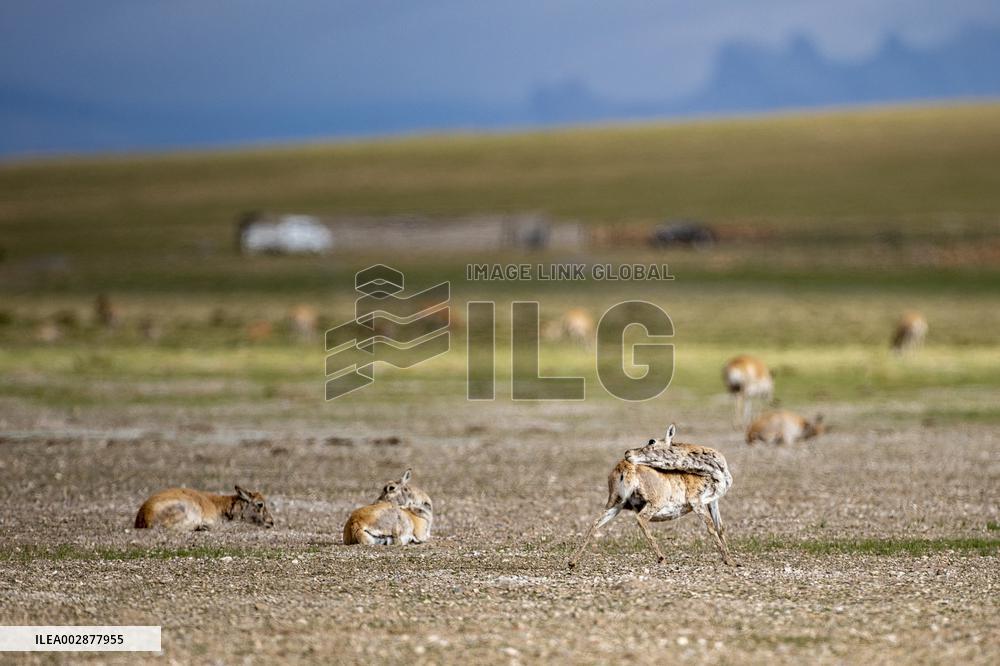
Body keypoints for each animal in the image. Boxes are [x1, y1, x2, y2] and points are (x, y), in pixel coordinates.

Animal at [568, 424, 735, 568]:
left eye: (651, 441)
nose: (628, 452)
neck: (713, 472)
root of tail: (623, 468)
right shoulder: (696, 502)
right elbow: (710, 526)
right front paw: (728, 560)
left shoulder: (712, 501)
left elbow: (720, 527)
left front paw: (731, 559)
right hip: (654, 503)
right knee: (641, 519)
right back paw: (662, 558)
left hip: (616, 504)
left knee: (595, 523)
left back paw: (572, 562)